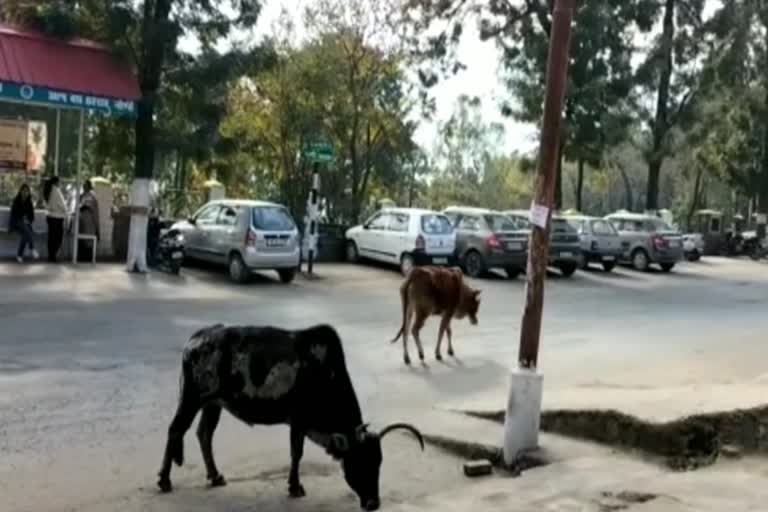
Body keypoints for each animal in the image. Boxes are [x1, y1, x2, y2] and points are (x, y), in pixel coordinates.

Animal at [156, 322, 420, 510]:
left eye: (378, 462)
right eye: (358, 462)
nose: (373, 504)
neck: (325, 373)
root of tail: (195, 339)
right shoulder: (298, 421)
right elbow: (296, 453)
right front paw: (295, 487)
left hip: (213, 404)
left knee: (204, 434)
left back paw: (215, 476)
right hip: (191, 398)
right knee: (175, 430)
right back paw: (164, 480)